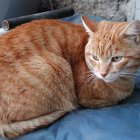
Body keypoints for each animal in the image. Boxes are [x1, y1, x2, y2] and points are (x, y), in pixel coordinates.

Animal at [0, 17, 139, 138]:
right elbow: (112, 100)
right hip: (55, 65)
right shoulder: (89, 98)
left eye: (116, 58)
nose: (103, 73)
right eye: (95, 57)